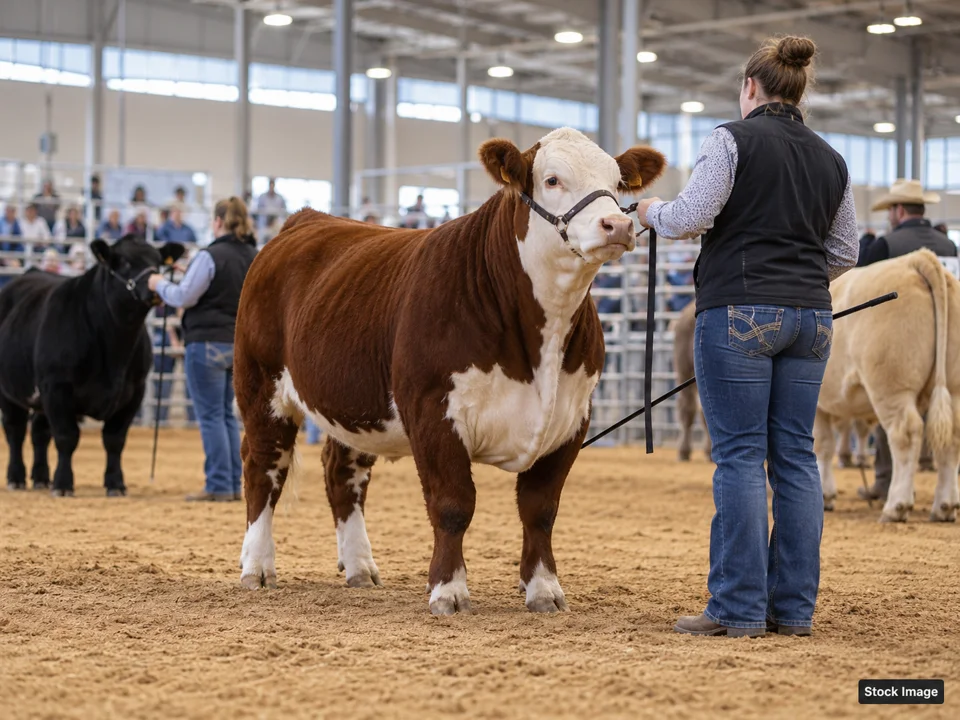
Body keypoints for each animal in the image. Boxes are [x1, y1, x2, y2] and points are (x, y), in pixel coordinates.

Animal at [0, 236, 184, 496]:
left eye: (158, 262)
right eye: (124, 262)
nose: (153, 286)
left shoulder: (134, 392)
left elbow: (115, 440)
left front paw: (116, 484)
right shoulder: (57, 387)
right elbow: (66, 437)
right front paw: (63, 484)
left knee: (39, 432)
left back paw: (41, 478)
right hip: (10, 391)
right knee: (15, 430)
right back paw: (16, 478)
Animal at [233, 127, 666, 614]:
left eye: (617, 182)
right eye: (552, 179)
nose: (618, 225)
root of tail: (307, 219)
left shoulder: (573, 417)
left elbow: (540, 509)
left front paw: (544, 590)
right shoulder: (432, 409)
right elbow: (453, 503)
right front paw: (449, 591)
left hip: (354, 401)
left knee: (342, 473)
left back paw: (360, 567)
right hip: (260, 385)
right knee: (263, 467)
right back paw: (257, 567)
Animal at [815, 249, 960, 522]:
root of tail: (916, 259)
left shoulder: (817, 403)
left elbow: (822, 446)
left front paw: (825, 496)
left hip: (890, 386)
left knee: (906, 433)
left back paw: (896, 505)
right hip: (953, 388)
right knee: (951, 437)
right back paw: (944, 507)